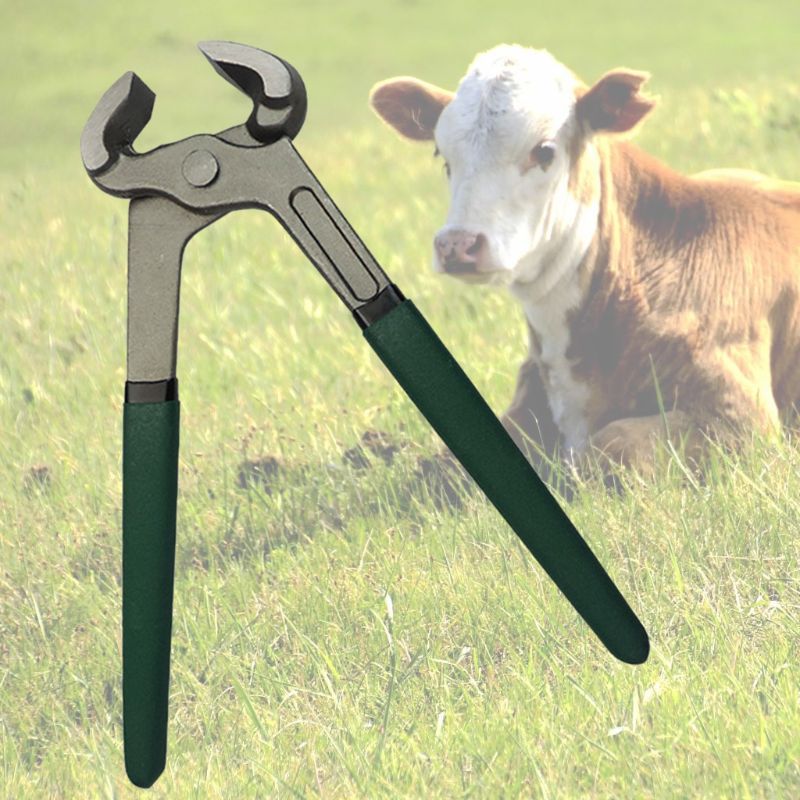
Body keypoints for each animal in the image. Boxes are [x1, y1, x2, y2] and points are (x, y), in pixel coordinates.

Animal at [369, 44, 800, 481]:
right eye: (443, 155)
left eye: (544, 150)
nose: (457, 244)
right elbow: (443, 466)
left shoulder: (742, 416)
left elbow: (612, 445)